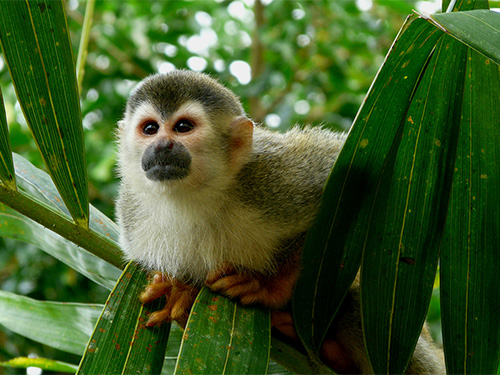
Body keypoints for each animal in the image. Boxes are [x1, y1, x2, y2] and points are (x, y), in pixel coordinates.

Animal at [115, 70, 444, 374]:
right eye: (150, 129)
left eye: (183, 127)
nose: (162, 146)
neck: (196, 194)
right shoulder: (132, 216)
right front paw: (181, 291)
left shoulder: (272, 177)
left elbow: (356, 175)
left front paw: (269, 286)